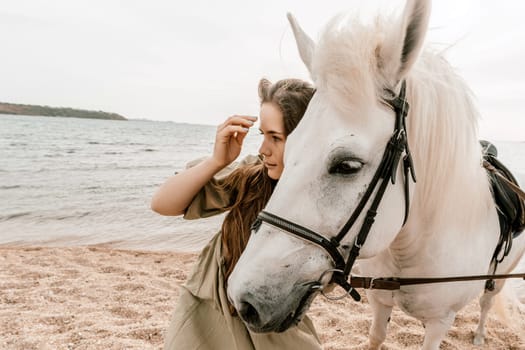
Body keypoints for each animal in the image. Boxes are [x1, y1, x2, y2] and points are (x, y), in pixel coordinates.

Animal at [228, 1, 524, 348]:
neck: (408, 256)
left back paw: (478, 335)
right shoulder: (380, 301)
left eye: (348, 166)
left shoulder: (440, 322)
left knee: (488, 301)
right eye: (288, 150)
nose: (243, 300)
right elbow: (376, 336)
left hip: (500, 277)